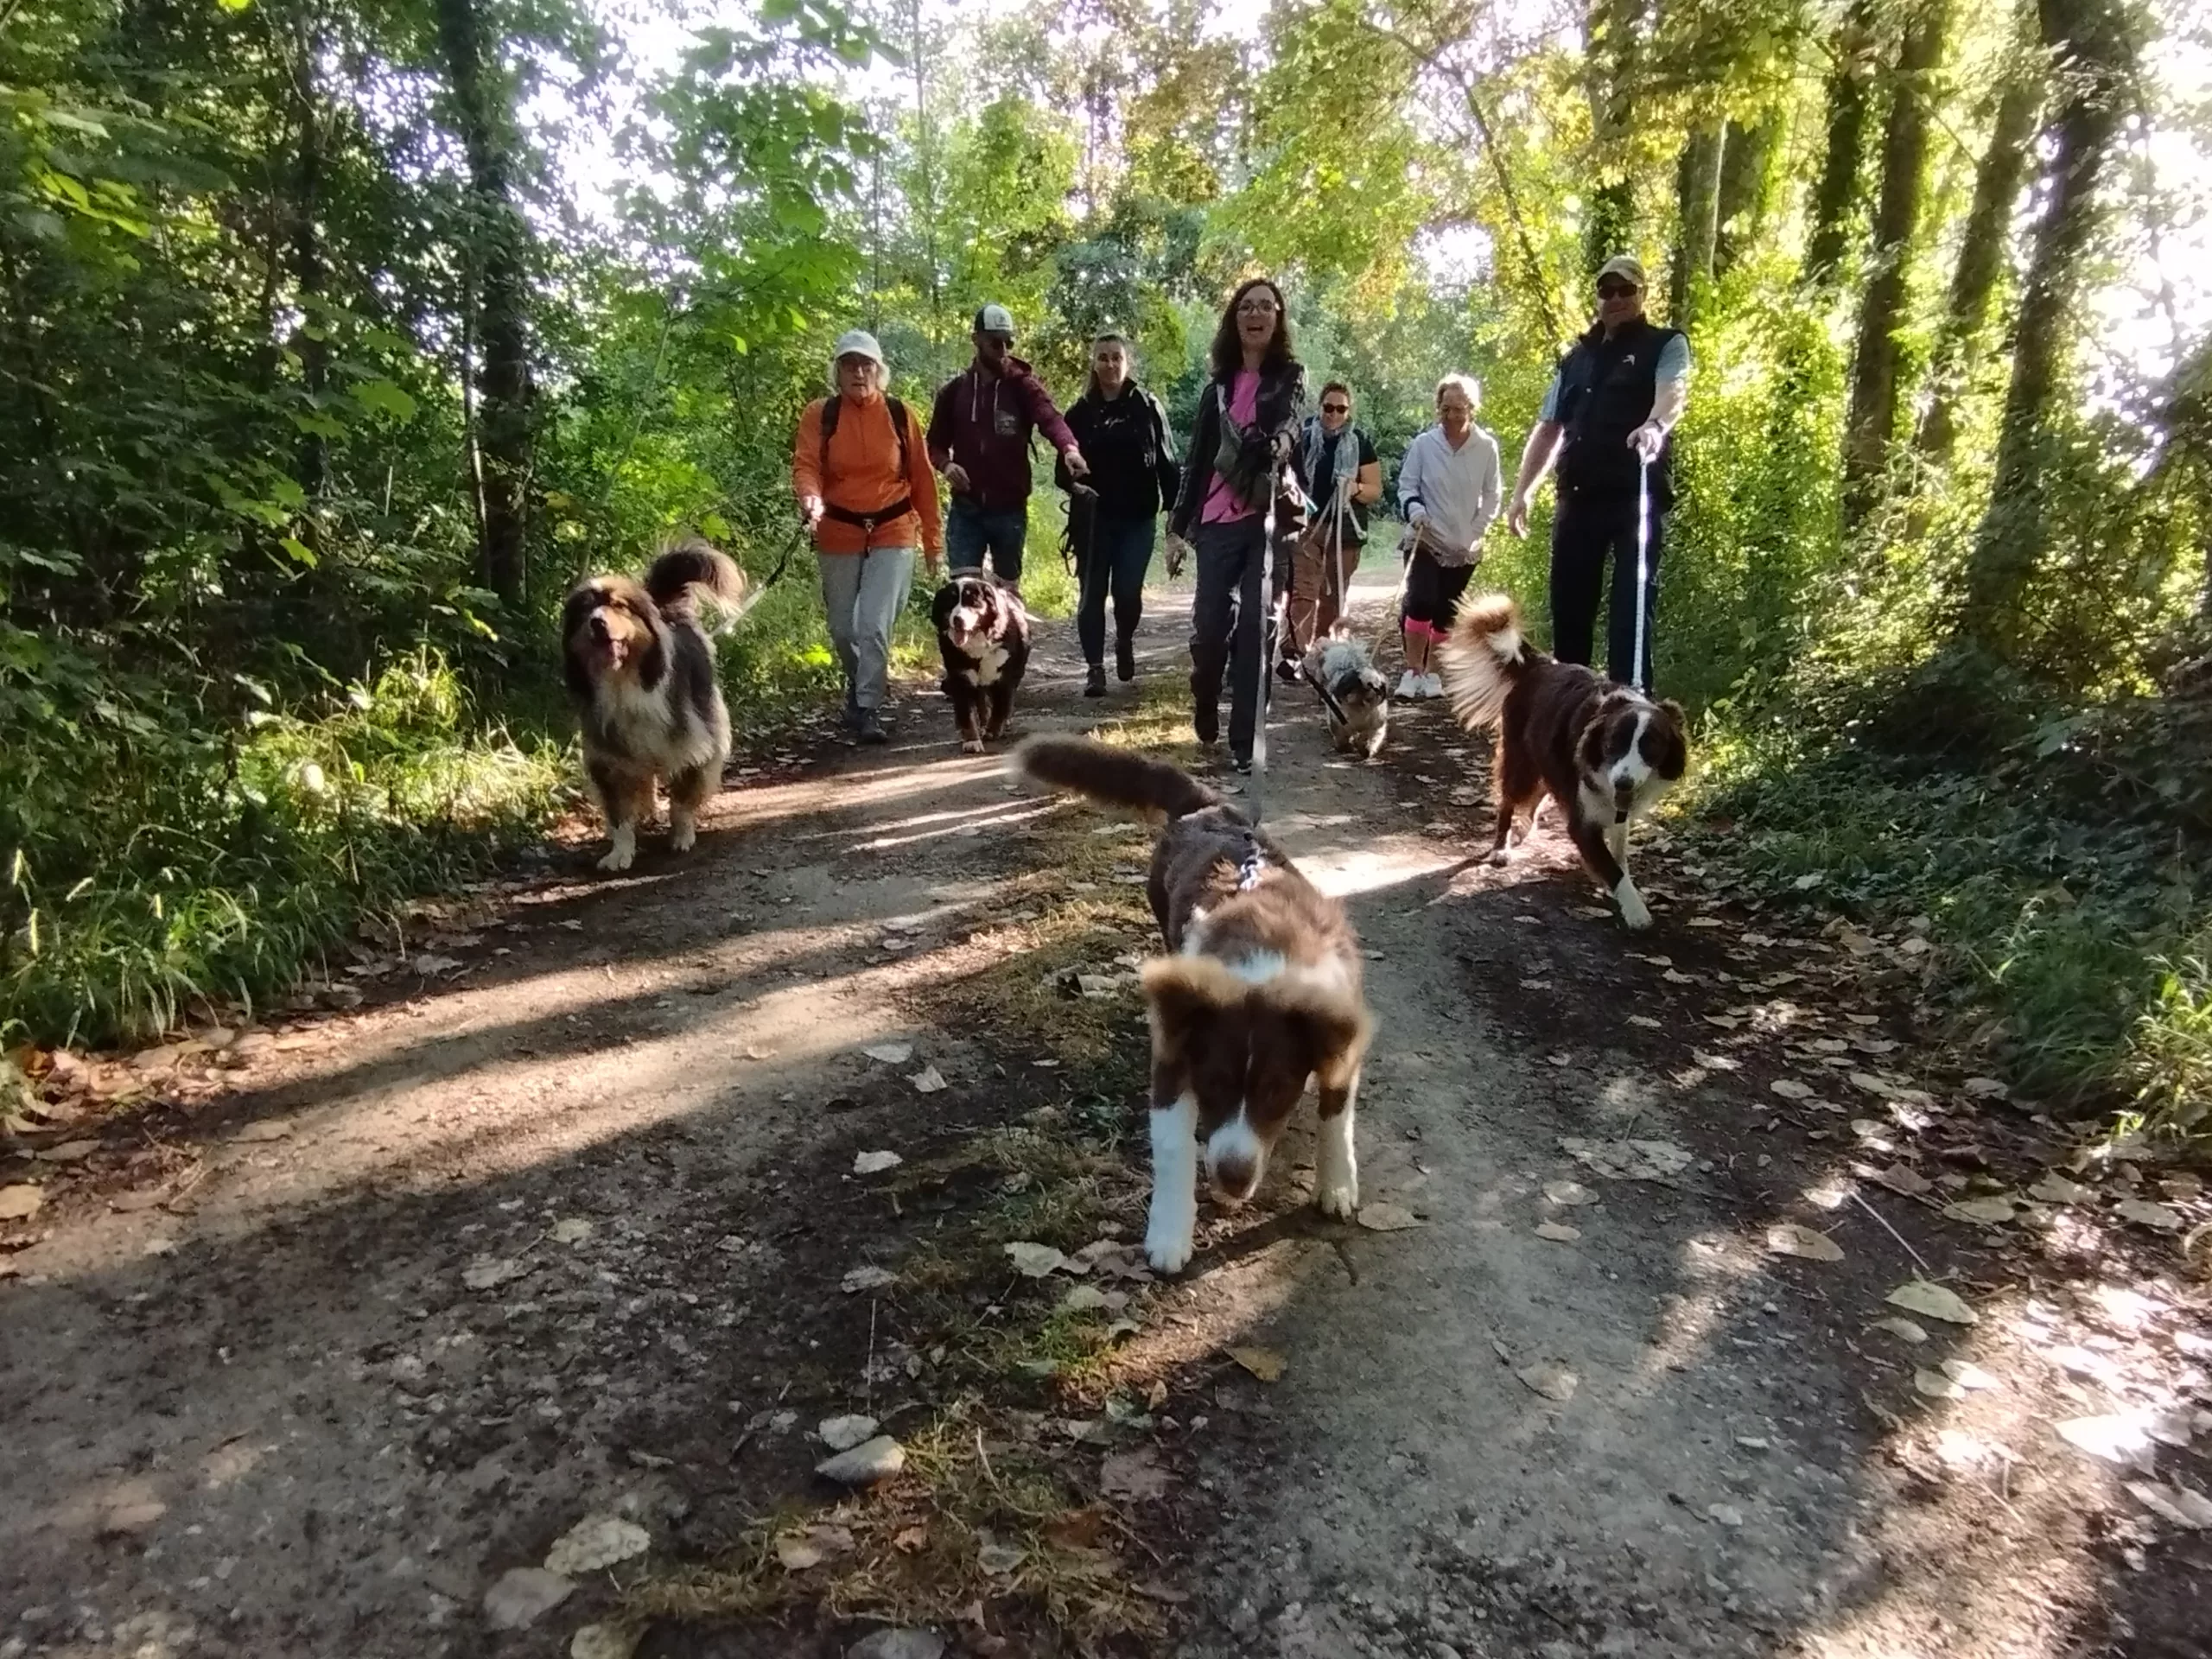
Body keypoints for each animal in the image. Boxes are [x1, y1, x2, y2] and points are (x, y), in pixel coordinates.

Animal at [557, 542, 747, 885]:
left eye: (618, 606)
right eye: (585, 611)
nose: (597, 622)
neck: (624, 682)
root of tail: (666, 609)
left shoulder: (691, 743)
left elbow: (682, 801)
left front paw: (682, 835)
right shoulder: (608, 757)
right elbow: (619, 816)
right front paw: (620, 853)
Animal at [933, 570, 1035, 752]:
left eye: (973, 602)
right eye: (951, 603)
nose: (958, 619)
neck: (978, 647)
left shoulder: (1004, 677)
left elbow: (1000, 707)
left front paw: (993, 730)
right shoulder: (960, 677)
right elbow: (966, 714)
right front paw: (972, 741)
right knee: (981, 703)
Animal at [1013, 739, 1362, 1274]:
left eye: (1277, 1089)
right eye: (1212, 1082)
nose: (1233, 1177)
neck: (1261, 960)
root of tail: (1207, 806)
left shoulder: (1338, 1021)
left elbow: (1336, 1111)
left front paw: (1337, 1185)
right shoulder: (1177, 1050)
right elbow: (1175, 1144)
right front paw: (1169, 1235)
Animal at [1442, 593, 1681, 938]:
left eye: (1651, 747)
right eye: (1613, 744)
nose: (1622, 783)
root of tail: (1541, 664)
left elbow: (1619, 853)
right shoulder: (1583, 819)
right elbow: (1610, 865)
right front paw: (1636, 910)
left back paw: (1525, 829)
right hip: (1521, 761)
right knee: (1508, 802)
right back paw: (1501, 848)